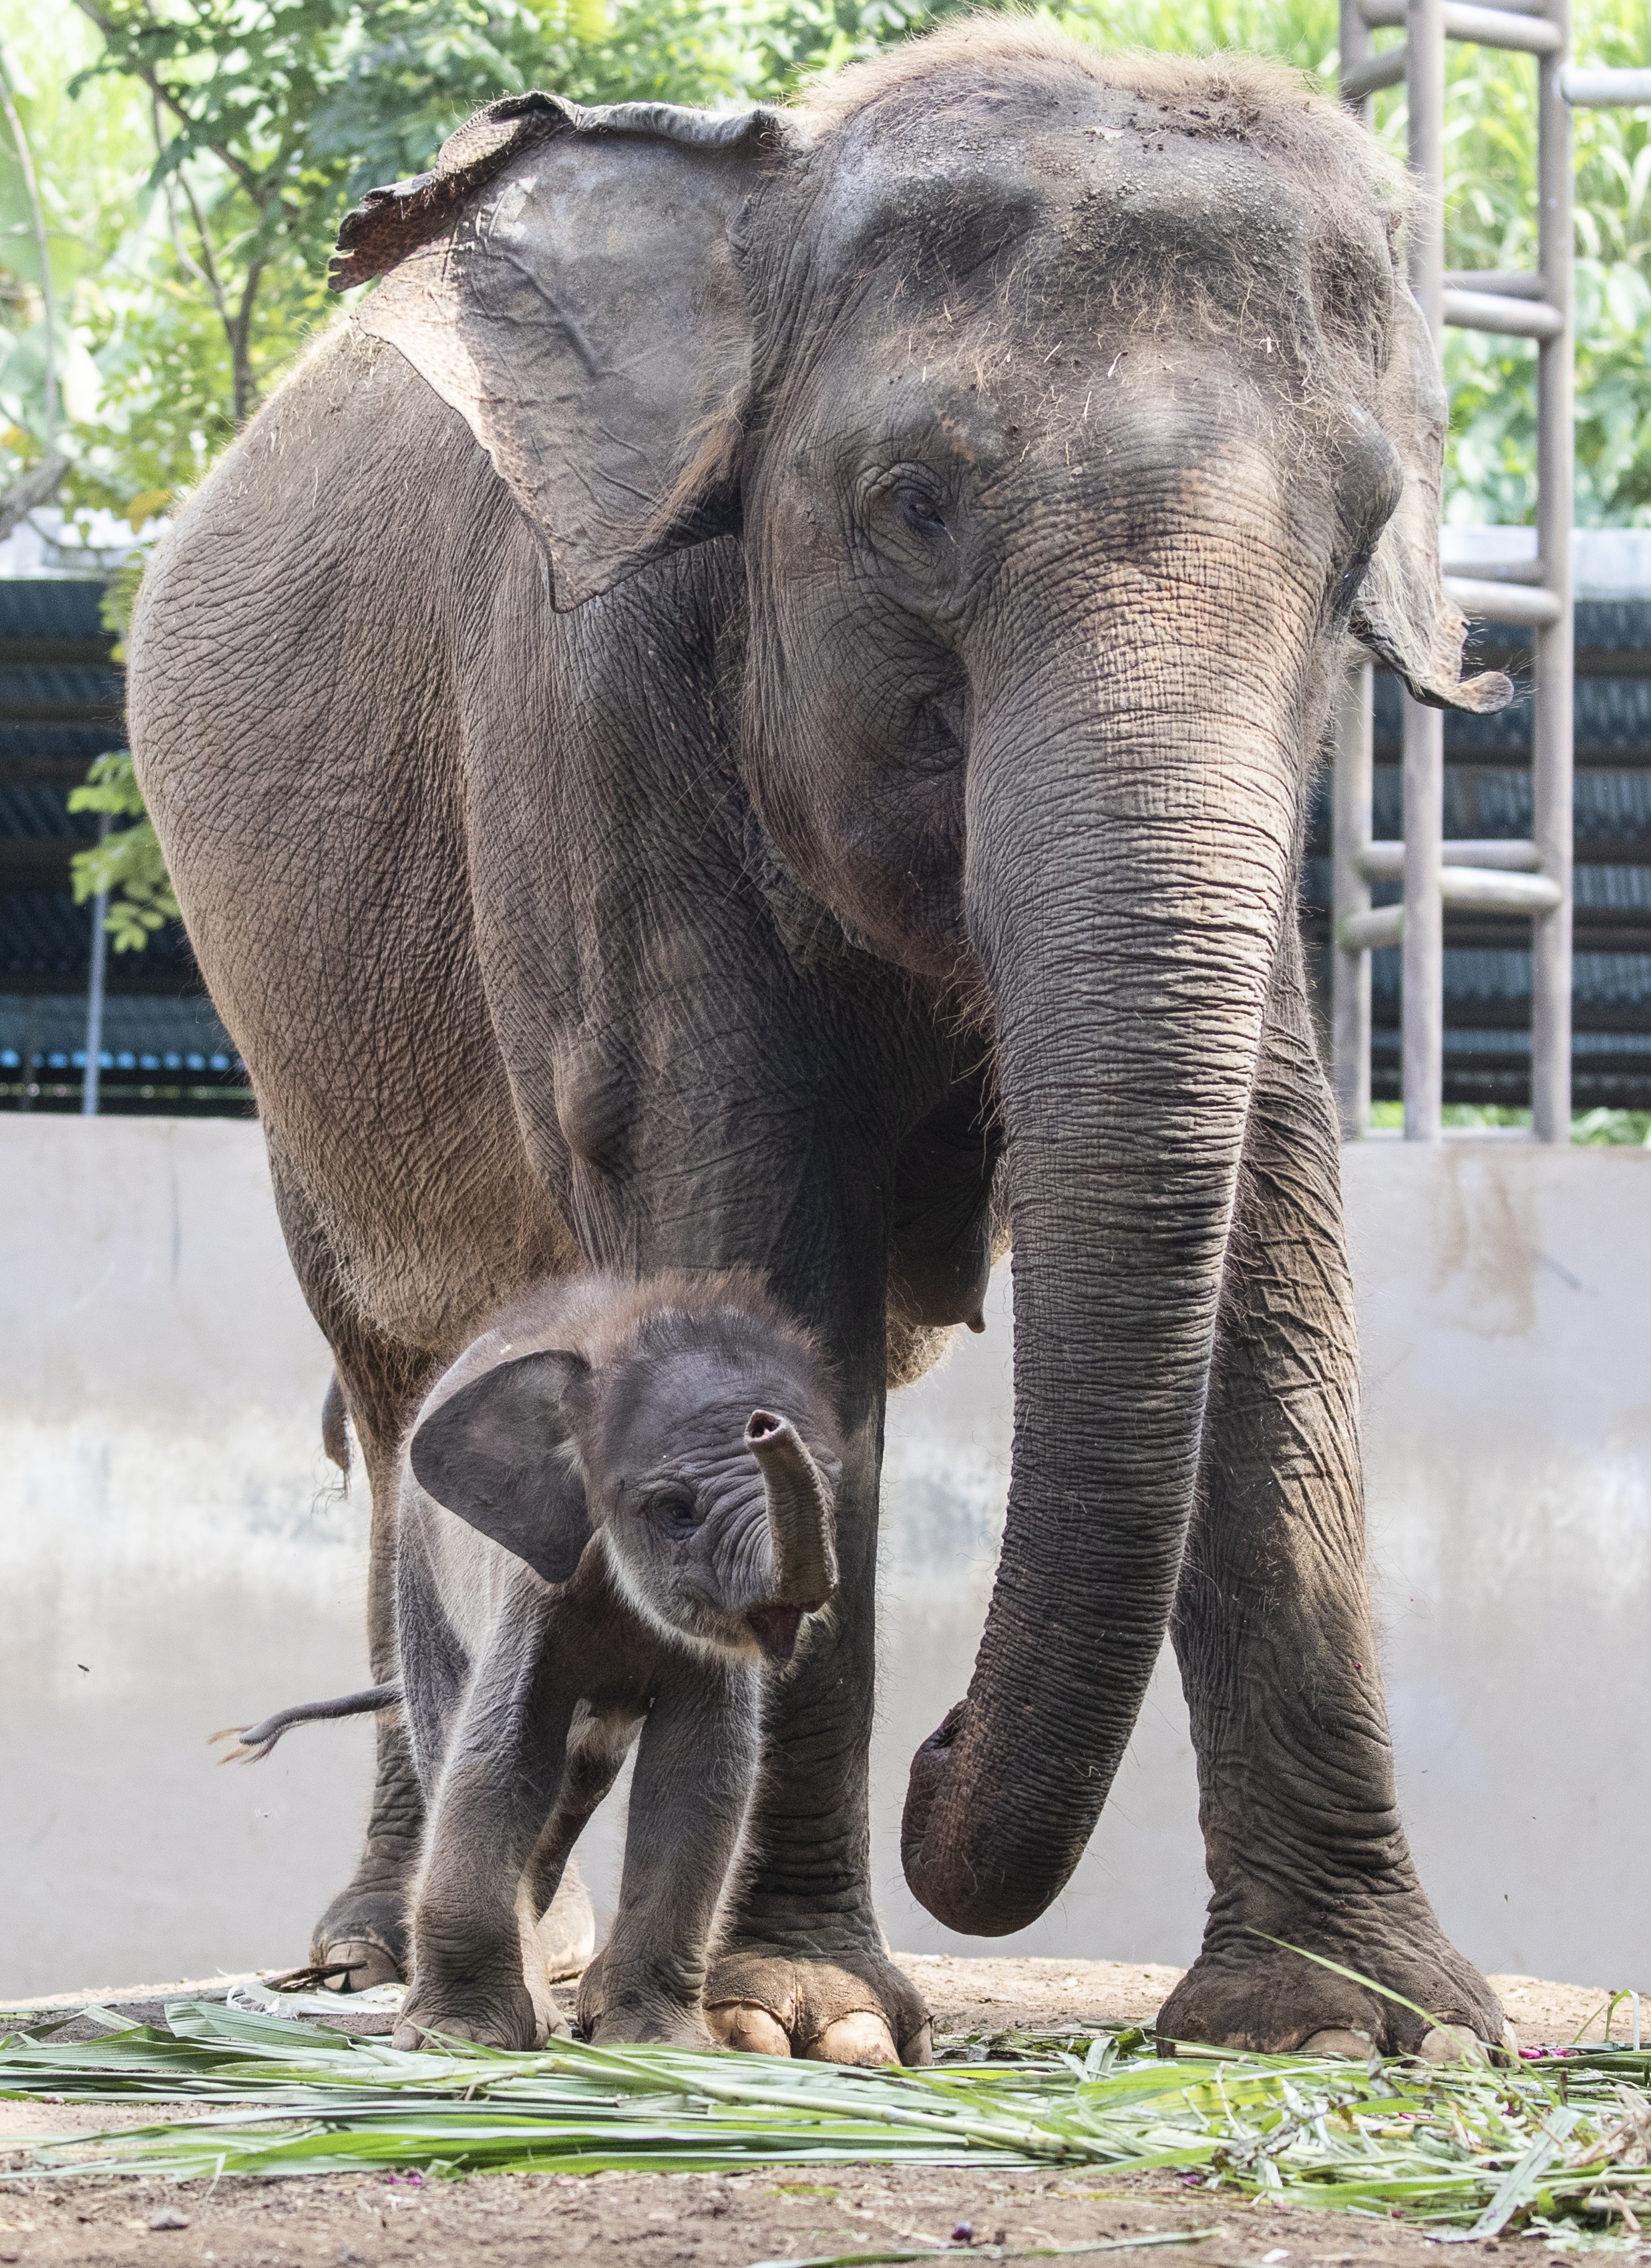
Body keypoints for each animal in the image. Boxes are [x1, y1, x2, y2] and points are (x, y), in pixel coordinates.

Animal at [240, 1279, 844, 2059]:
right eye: (674, 1510)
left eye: (833, 1485)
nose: (767, 1427)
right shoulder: (529, 1591)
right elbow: (501, 1754)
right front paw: (457, 2040)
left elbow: (700, 1773)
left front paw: (659, 2047)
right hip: (418, 1572)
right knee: (461, 1736)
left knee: (576, 1784)